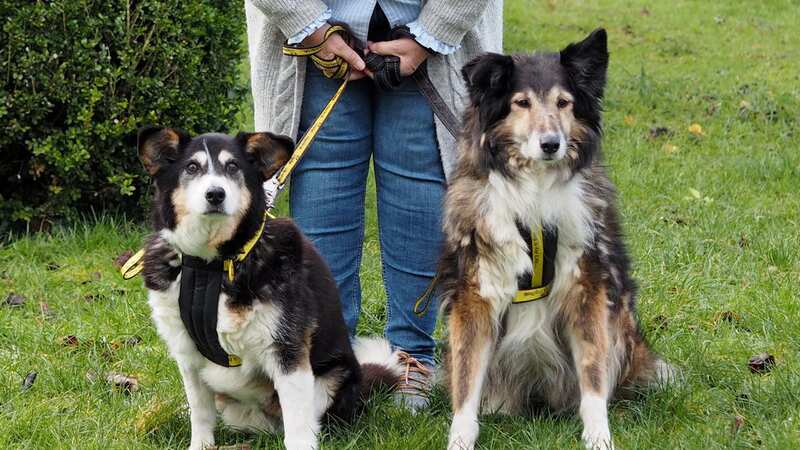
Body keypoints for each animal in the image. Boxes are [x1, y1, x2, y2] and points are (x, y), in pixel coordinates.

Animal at [138, 127, 404, 450]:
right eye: (191, 167)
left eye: (233, 167)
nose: (215, 194)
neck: (213, 265)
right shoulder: (187, 353)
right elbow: (200, 413)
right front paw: (200, 444)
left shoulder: (287, 349)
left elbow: (298, 423)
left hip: (332, 379)